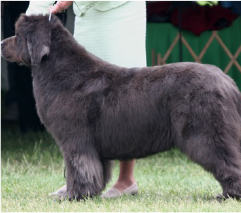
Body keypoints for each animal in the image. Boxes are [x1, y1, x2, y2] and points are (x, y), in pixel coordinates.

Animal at [1, 14, 241, 201]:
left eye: (18, 35)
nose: (2, 43)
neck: (63, 73)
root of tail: (227, 81)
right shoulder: (93, 146)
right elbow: (96, 171)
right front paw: (88, 194)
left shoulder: (75, 141)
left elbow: (78, 169)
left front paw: (73, 196)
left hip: (207, 133)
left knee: (227, 161)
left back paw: (227, 195)